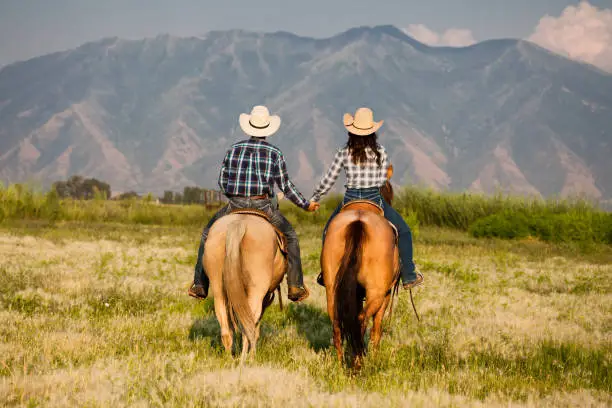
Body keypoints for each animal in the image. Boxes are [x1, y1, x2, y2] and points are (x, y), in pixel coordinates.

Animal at [202, 207, 286, 364]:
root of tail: (239, 223)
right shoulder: (264, 298)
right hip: (256, 294)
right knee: (249, 329)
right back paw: (248, 358)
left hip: (218, 291)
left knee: (226, 329)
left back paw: (229, 359)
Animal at [318, 164, 400, 368]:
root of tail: (358, 221)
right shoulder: (385, 295)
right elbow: (377, 328)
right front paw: (375, 356)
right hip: (377, 292)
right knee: (362, 320)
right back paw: (359, 362)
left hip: (332, 288)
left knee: (337, 322)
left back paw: (341, 364)